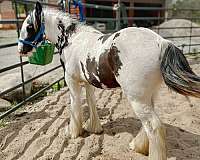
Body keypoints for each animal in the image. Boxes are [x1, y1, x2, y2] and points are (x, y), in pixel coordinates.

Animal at [17, 1, 200, 160]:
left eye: (29, 26)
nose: (21, 49)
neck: (71, 40)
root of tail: (162, 42)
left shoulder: (71, 82)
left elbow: (74, 106)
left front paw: (73, 132)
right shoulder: (87, 83)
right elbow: (91, 103)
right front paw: (94, 128)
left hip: (137, 98)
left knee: (154, 126)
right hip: (148, 96)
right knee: (149, 124)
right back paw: (137, 146)